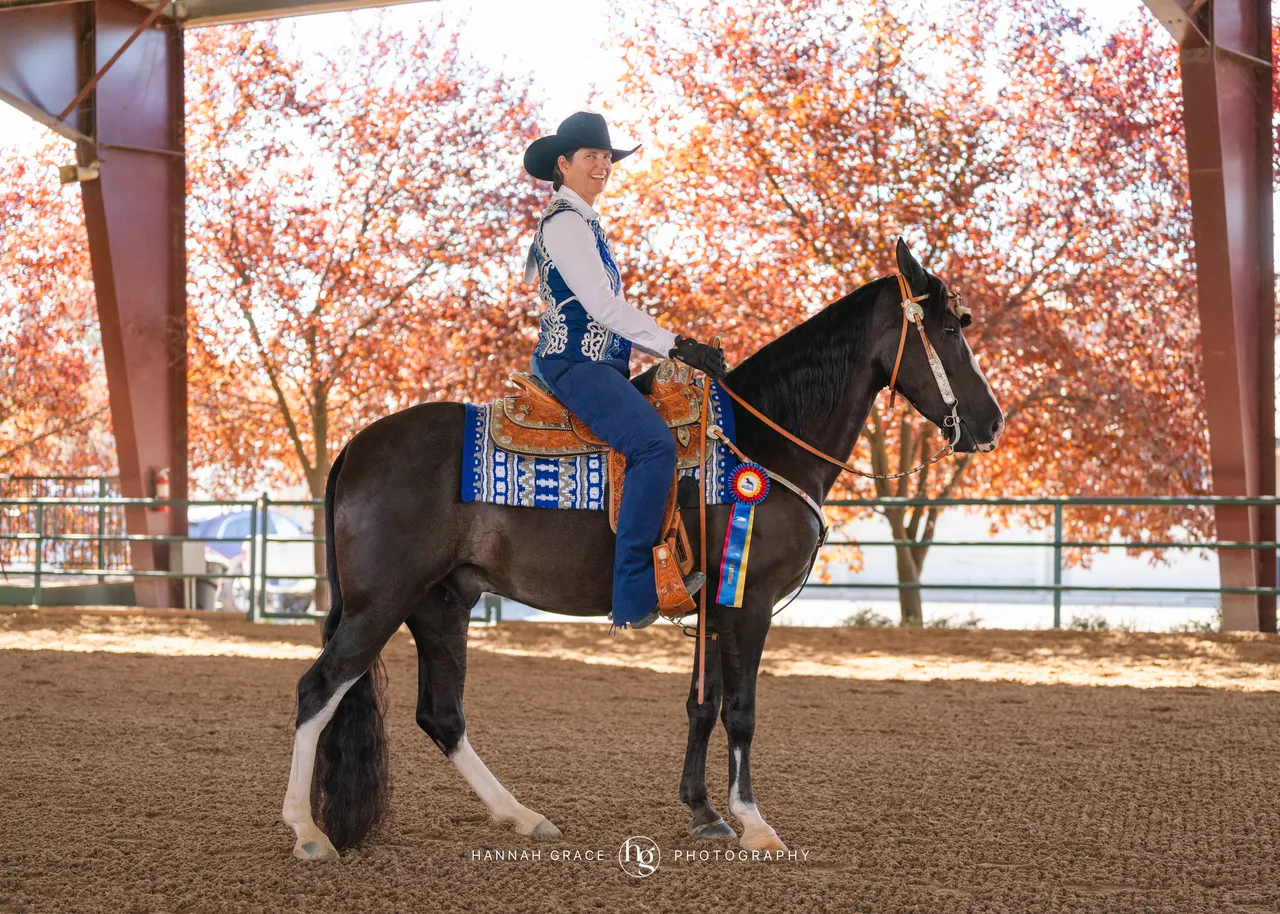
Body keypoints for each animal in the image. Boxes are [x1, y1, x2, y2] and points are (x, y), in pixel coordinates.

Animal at [281, 238, 1004, 861]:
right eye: (949, 330)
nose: (991, 422)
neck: (763, 443)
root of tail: (357, 445)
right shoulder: (748, 603)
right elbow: (741, 710)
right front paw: (754, 823)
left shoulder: (714, 606)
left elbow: (703, 704)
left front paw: (704, 812)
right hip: (385, 601)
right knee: (320, 688)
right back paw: (308, 831)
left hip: (441, 603)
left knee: (441, 715)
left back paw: (521, 816)